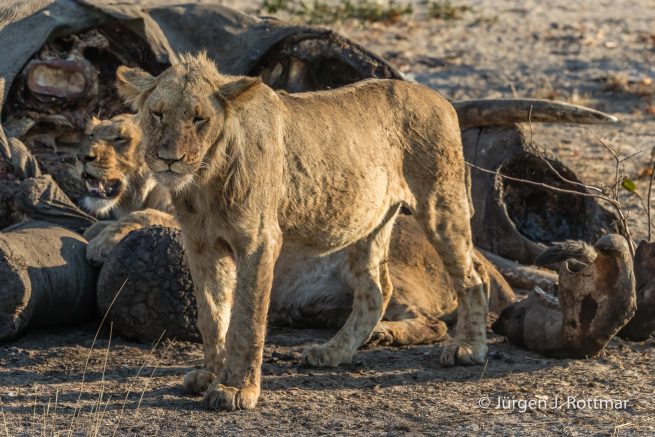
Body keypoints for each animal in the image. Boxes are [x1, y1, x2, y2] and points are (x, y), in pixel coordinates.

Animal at [116, 52, 490, 411]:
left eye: (199, 118)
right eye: (158, 114)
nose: (169, 158)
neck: (204, 180)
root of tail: (439, 97)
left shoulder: (259, 241)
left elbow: (246, 319)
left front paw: (237, 389)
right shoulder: (200, 244)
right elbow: (211, 313)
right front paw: (210, 374)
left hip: (441, 202)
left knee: (472, 277)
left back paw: (468, 349)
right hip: (371, 223)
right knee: (376, 289)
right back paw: (334, 352)